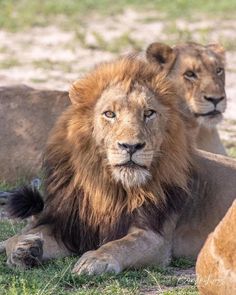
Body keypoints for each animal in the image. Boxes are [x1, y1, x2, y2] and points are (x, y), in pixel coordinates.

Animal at [2, 58, 236, 278]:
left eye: (149, 113)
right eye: (109, 114)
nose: (131, 146)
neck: (109, 188)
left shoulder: (155, 237)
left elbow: (121, 245)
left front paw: (95, 260)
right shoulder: (69, 227)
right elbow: (15, 238)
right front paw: (24, 249)